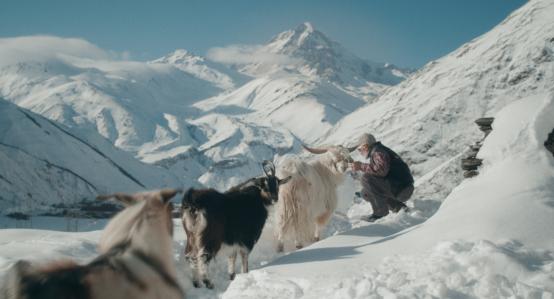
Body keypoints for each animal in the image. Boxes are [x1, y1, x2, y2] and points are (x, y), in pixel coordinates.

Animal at [182, 162, 294, 290]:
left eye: (277, 186)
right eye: (265, 187)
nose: (274, 199)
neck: (257, 199)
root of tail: (193, 202)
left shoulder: (233, 240)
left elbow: (232, 256)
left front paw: (232, 276)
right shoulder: (247, 238)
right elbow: (244, 256)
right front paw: (245, 273)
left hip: (191, 236)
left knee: (190, 256)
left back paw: (196, 283)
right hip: (210, 236)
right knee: (203, 256)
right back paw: (208, 282)